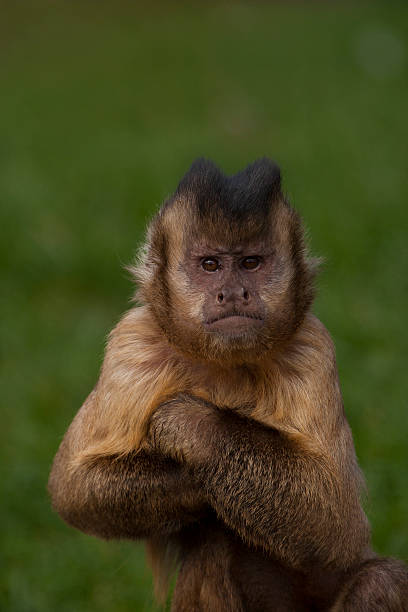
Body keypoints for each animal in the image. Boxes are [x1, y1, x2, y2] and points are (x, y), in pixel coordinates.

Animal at [48, 159, 408, 612]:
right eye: (210, 265)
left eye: (252, 263)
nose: (234, 292)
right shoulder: (132, 346)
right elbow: (74, 490)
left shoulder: (312, 348)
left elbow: (336, 527)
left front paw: (188, 423)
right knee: (215, 549)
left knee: (382, 581)